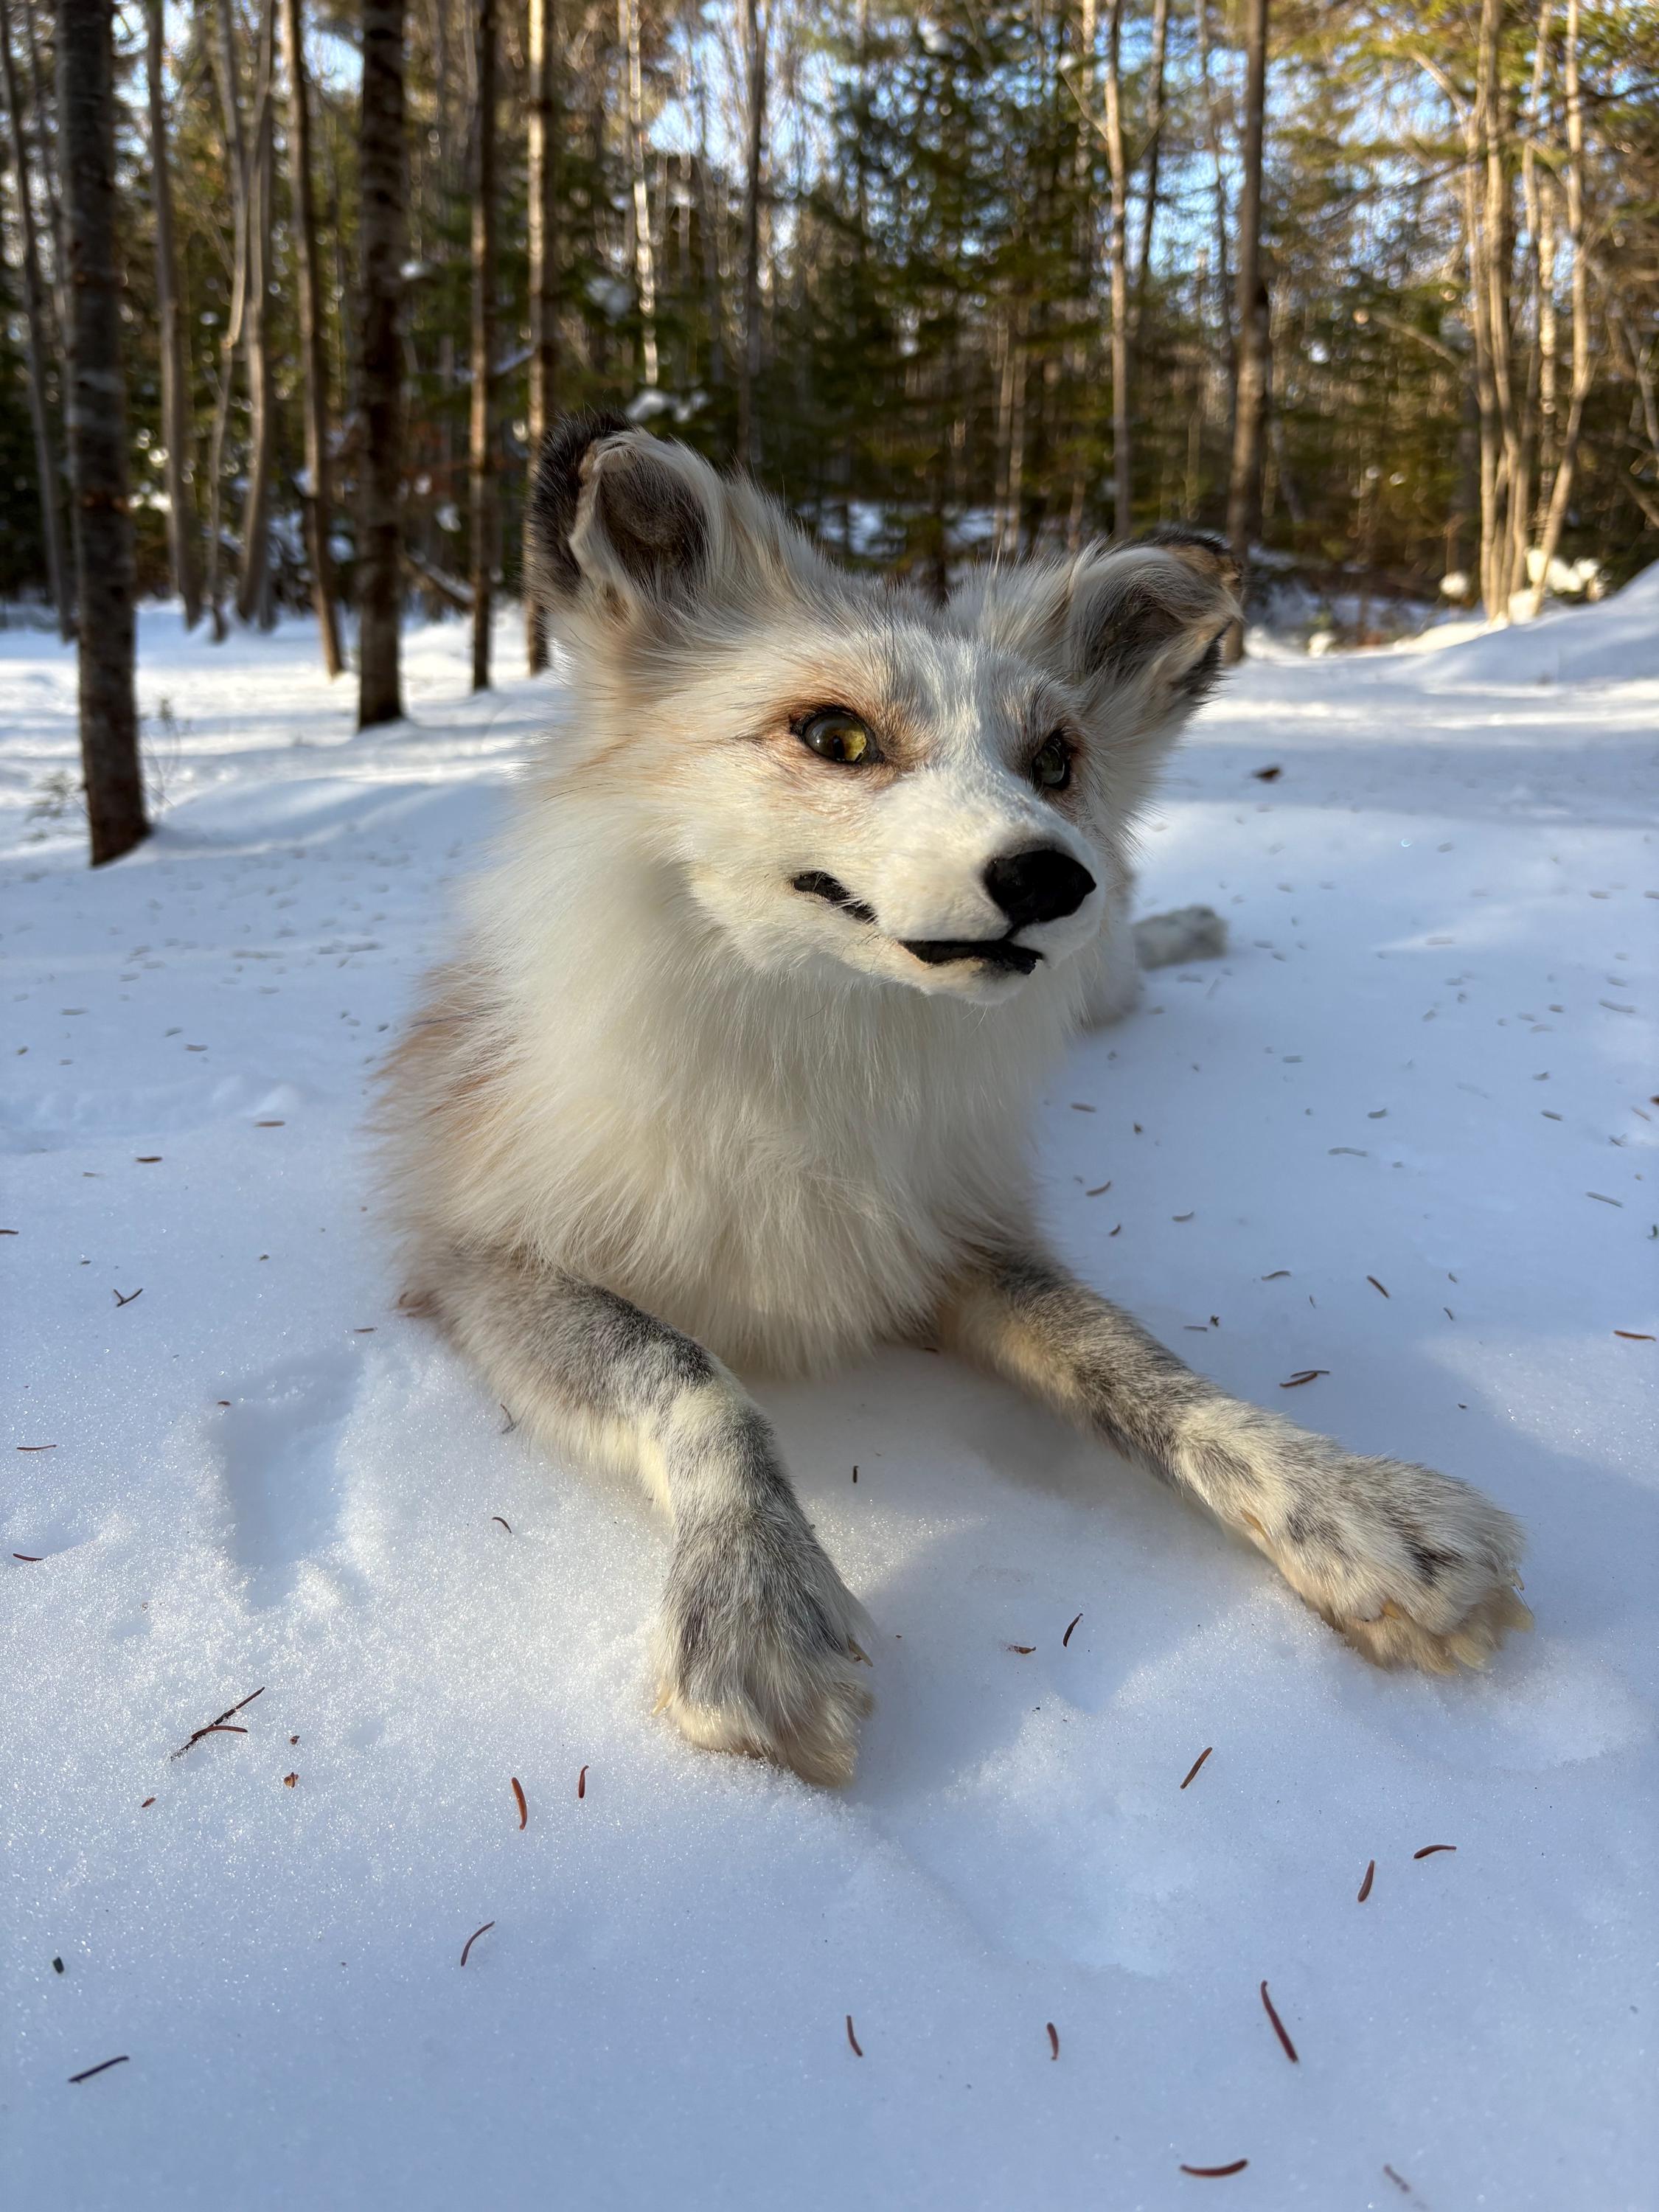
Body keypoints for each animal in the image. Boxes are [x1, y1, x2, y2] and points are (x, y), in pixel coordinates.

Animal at [380, 413, 1530, 1787]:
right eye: (835, 737)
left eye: (1055, 760)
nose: (1052, 878)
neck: (823, 1079)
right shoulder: (476, 1260)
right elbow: (697, 1380)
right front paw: (755, 1597)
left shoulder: (958, 1237)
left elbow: (1141, 1370)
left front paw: (1346, 1506)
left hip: (1100, 981)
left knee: (1126, 980)